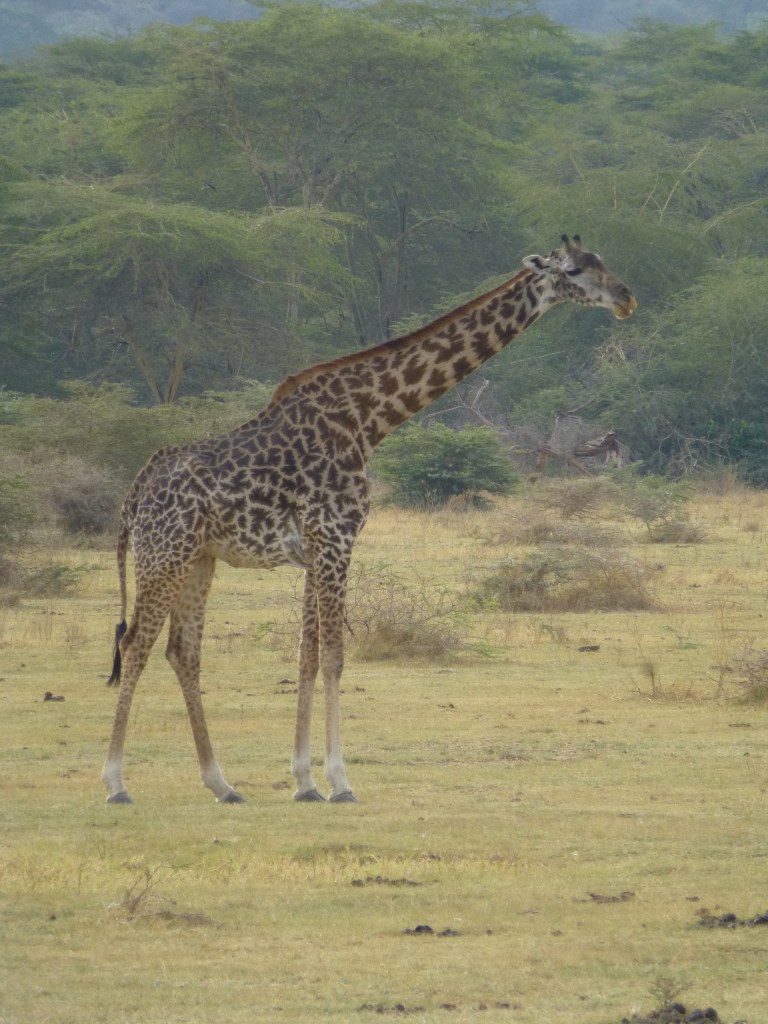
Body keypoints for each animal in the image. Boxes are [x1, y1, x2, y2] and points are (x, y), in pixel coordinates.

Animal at [103, 235, 636, 805]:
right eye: (575, 270)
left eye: (603, 261)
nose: (627, 298)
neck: (369, 418)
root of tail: (133, 495)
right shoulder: (336, 536)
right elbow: (336, 655)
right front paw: (339, 782)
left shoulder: (314, 548)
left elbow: (308, 656)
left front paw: (304, 782)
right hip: (165, 553)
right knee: (135, 644)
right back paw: (116, 783)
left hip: (199, 559)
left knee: (182, 651)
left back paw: (222, 784)